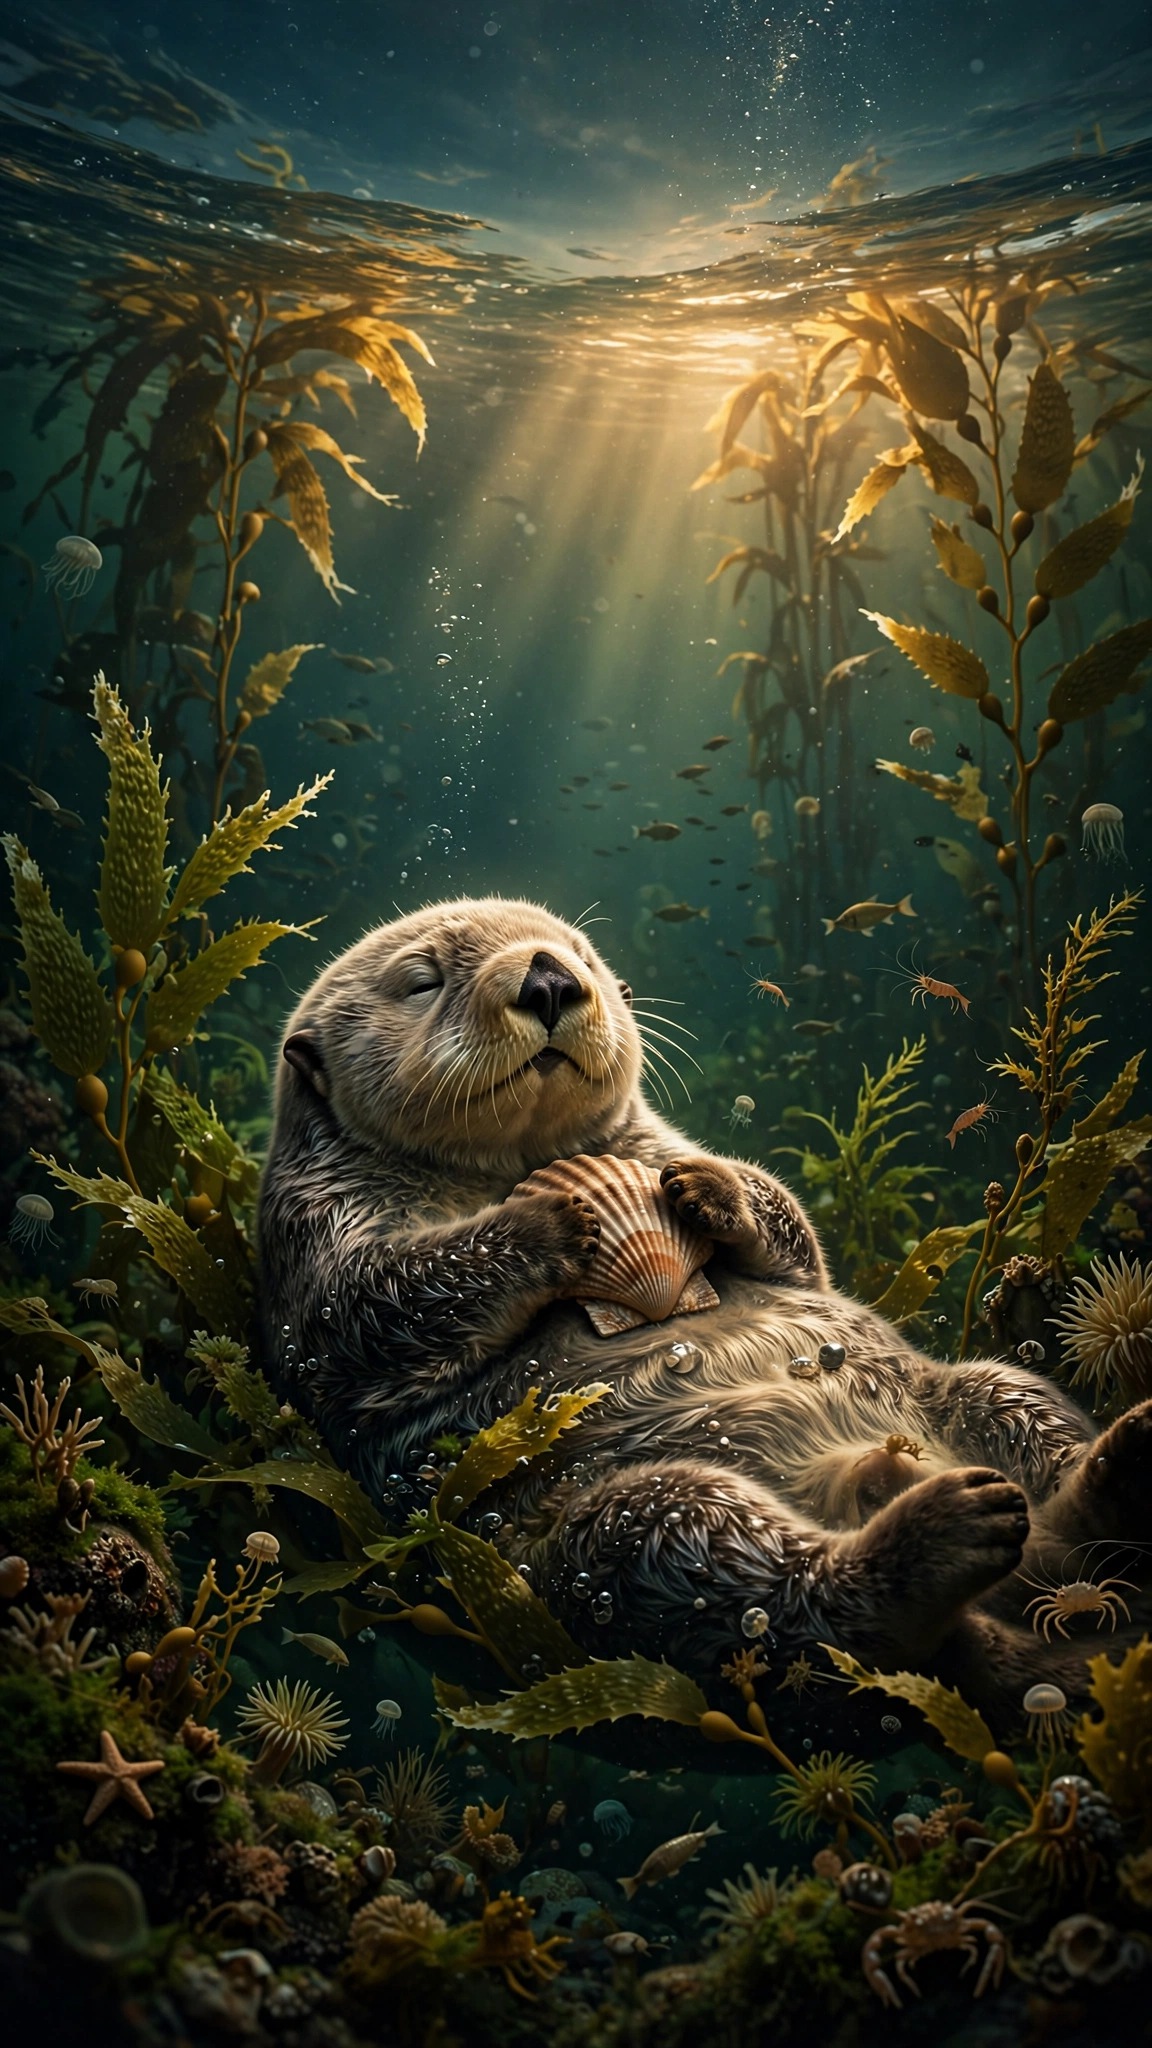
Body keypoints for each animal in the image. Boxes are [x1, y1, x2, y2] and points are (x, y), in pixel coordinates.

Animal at [258, 898, 1150, 1724]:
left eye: (581, 952)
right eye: (423, 980)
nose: (549, 978)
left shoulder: (665, 1150)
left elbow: (794, 1239)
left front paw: (709, 1190)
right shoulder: (315, 1243)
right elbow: (372, 1305)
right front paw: (554, 1220)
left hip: (981, 1393)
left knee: (1036, 1462)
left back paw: (1111, 1470)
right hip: (618, 1551)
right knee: (805, 1610)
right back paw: (942, 1535)